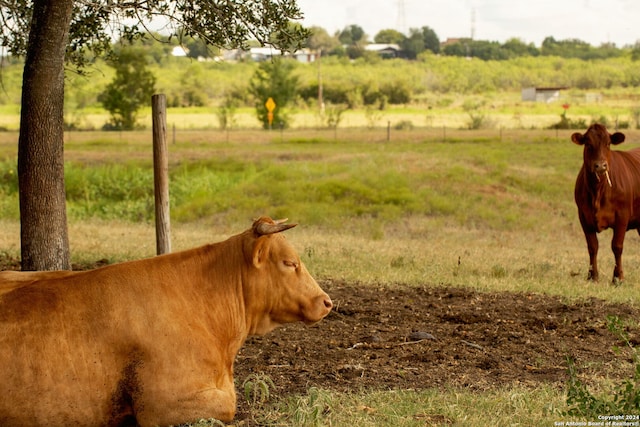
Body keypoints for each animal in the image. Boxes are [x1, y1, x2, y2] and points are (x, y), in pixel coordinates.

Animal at [572, 123, 640, 284]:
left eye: (608, 144)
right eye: (588, 144)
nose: (601, 166)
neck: (598, 191)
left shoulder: (622, 216)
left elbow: (617, 246)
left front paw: (618, 278)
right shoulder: (583, 216)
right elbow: (592, 246)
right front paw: (592, 276)